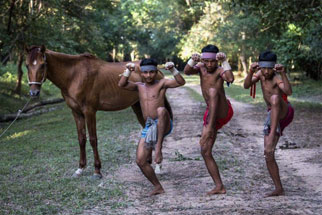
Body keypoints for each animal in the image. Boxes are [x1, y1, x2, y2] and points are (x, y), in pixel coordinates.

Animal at [25, 45, 172, 178]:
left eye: (42, 65)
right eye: (27, 65)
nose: (33, 92)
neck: (74, 76)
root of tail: (158, 70)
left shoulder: (89, 111)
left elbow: (93, 139)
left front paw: (97, 170)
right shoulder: (76, 113)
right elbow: (81, 139)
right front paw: (80, 168)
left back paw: (158, 166)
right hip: (137, 106)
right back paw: (148, 162)